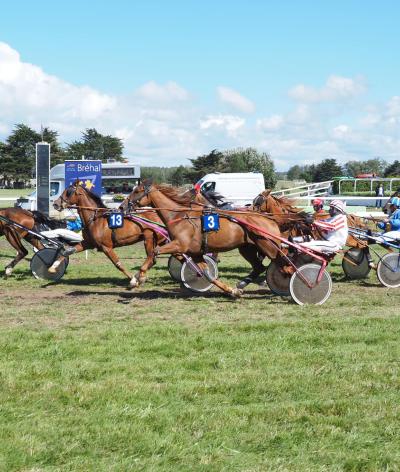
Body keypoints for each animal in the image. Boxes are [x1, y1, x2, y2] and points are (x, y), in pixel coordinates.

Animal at [126, 182, 284, 296]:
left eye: (137, 191)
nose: (122, 206)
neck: (179, 217)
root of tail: (269, 219)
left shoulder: (179, 245)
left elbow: (155, 251)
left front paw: (138, 278)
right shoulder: (195, 253)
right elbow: (208, 275)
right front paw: (232, 291)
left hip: (269, 247)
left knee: (282, 264)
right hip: (247, 249)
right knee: (259, 267)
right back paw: (242, 284)